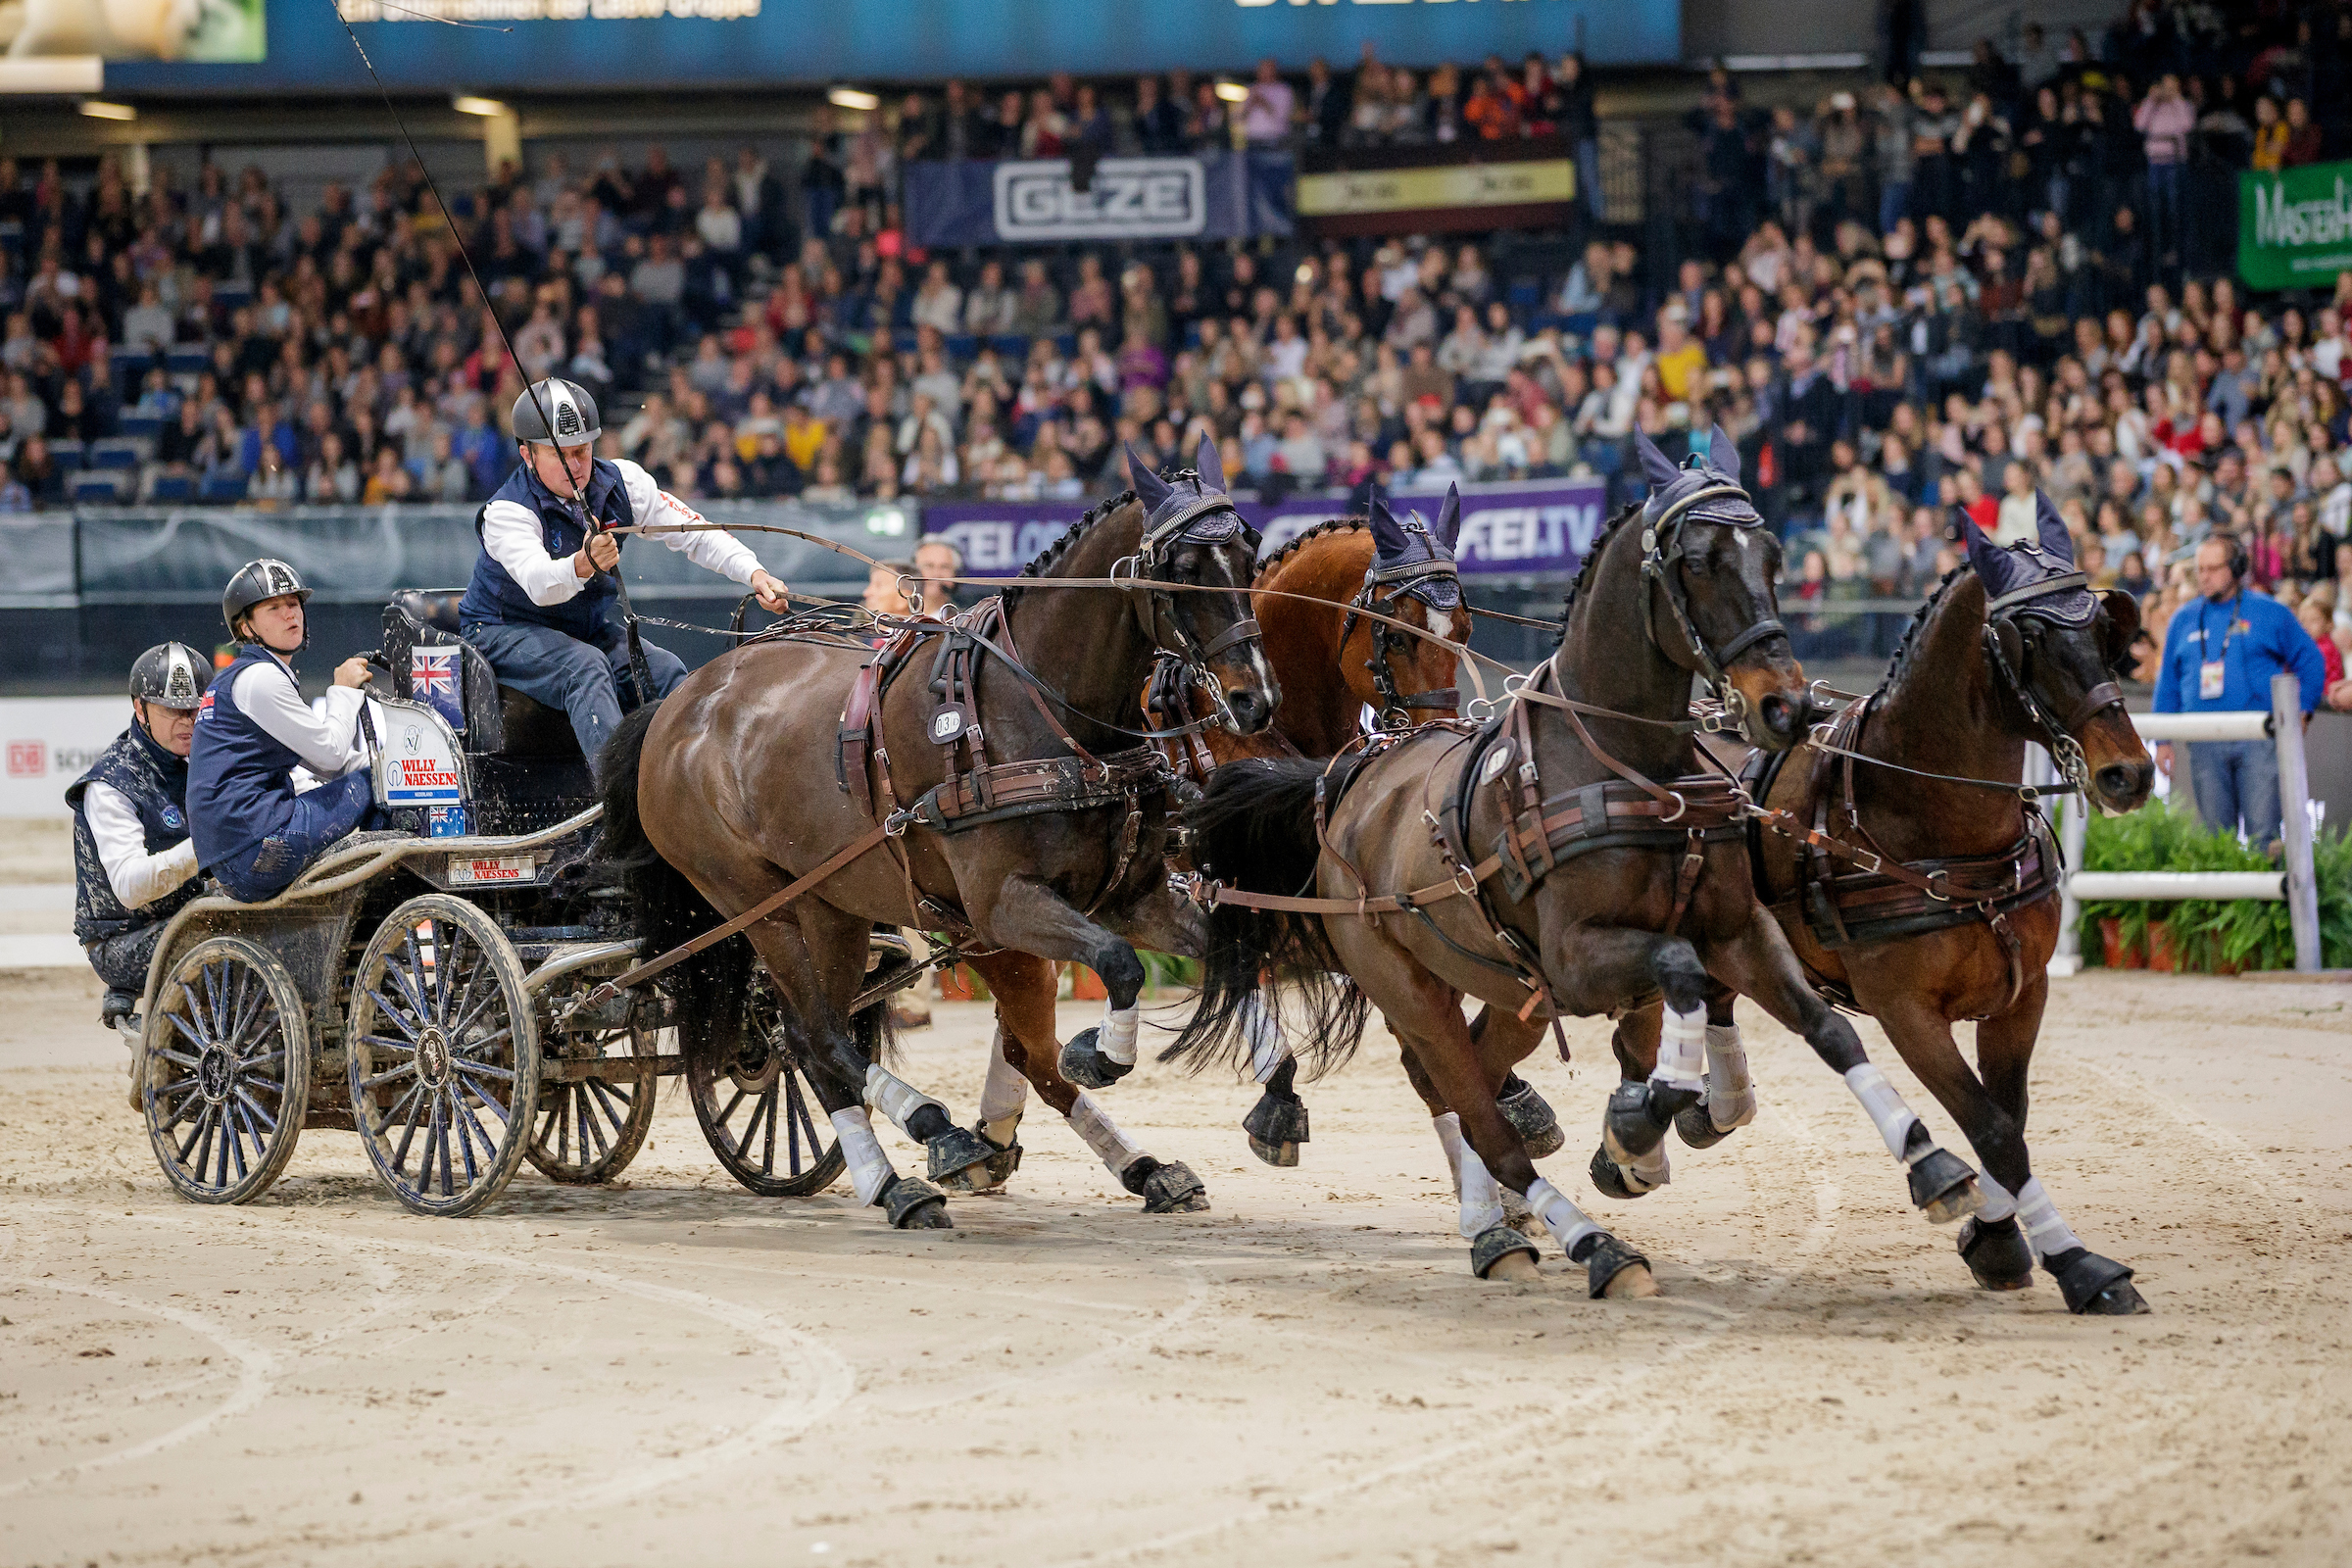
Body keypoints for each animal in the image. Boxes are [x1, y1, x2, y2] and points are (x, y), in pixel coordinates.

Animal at [597, 439, 1279, 1222]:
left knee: (815, 1036)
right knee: (815, 1034)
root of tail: (678, 704)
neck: (1041, 713)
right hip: (755, 904)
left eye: (1250, 554)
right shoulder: (1003, 905)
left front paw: (1278, 1106)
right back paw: (925, 1145)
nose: (1255, 699)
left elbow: (1230, 954)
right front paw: (1100, 1053)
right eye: (1185, 568)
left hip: (830, 904)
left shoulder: (1132, 895)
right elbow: (1119, 967)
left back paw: (916, 1171)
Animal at [1176, 434, 1984, 1298]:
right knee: (1472, 1108)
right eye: (1698, 563)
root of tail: (1352, 777)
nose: (1786, 706)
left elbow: (1828, 1030)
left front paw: (1933, 1164)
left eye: (1771, 555)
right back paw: (1582, 1244)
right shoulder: (1578, 959)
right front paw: (1638, 1125)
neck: (1629, 767)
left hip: (1504, 990)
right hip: (1410, 985)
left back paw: (1510, 1216)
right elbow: (1676, 977)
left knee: (1469, 1085)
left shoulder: (1739, 931)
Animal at [1618, 500, 2154, 1316]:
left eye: (2102, 627)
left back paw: (1703, 1109)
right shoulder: (1906, 1010)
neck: (1934, 825)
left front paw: (1997, 1236)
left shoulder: (2022, 996)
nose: (2130, 772)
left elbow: (2010, 1119)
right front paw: (2075, 1264)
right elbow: (1990, 1127)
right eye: (2030, 638)